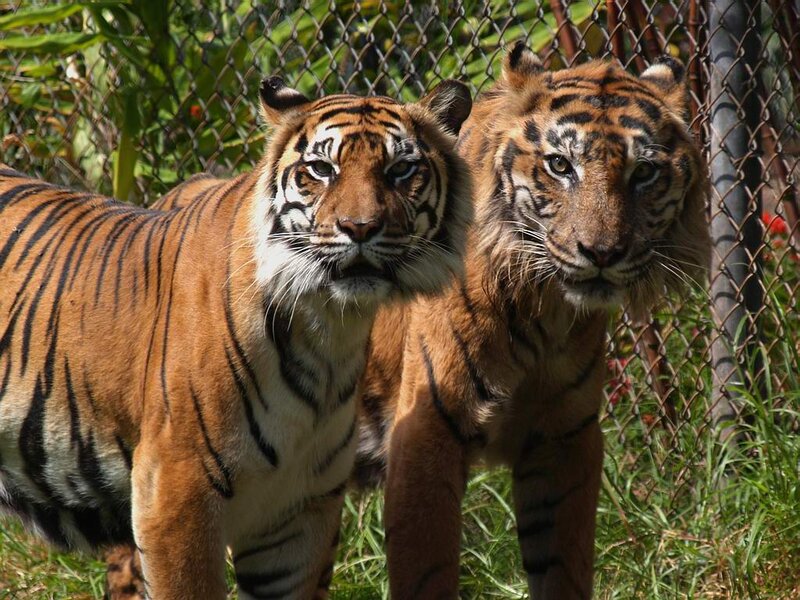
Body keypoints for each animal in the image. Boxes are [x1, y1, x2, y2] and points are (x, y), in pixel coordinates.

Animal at [0, 75, 472, 599]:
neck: (329, 332)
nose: (360, 227)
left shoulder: (298, 514)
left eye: (401, 169)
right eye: (321, 169)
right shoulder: (174, 496)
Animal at [353, 42, 711, 599]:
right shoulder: (425, 433)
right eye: (560, 165)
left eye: (644, 174)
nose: (602, 253)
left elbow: (564, 565)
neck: (546, 310)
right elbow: (426, 570)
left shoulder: (564, 439)